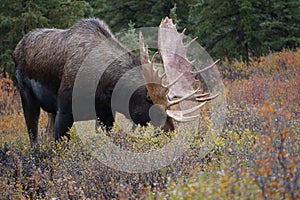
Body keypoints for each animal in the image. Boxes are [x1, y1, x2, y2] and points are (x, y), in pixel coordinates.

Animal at [13, 17, 218, 145]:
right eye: (155, 110)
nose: (171, 134)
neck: (105, 87)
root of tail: (17, 48)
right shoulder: (64, 109)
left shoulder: (106, 115)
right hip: (27, 96)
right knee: (33, 135)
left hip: (49, 110)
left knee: (45, 132)